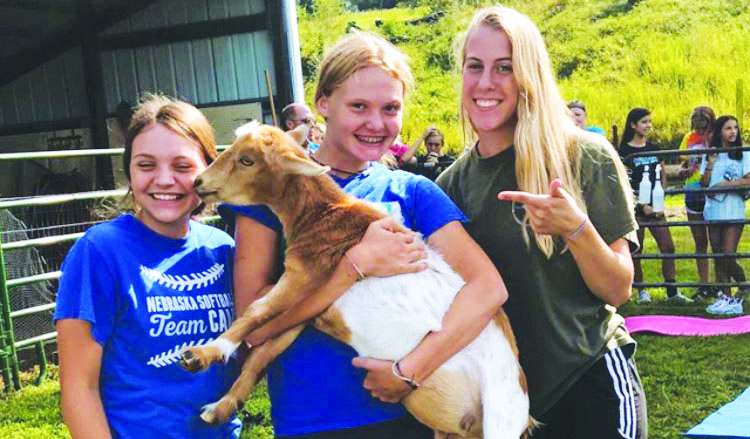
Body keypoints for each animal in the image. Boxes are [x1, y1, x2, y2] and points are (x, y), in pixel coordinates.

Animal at [182, 122, 536, 438]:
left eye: (247, 160)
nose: (199, 181)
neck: (324, 215)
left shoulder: (304, 276)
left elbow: (255, 311)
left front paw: (203, 354)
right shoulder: (308, 309)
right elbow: (263, 353)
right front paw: (220, 408)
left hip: (501, 415)